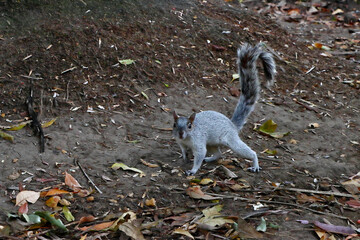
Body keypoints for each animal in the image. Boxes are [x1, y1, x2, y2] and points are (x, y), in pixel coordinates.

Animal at [172, 43, 276, 175]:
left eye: (190, 126)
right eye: (174, 124)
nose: (180, 133)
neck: (187, 139)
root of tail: (232, 125)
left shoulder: (199, 142)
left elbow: (200, 155)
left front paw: (193, 170)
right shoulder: (181, 143)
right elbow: (184, 150)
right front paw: (185, 157)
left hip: (231, 141)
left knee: (248, 152)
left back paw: (255, 164)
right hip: (212, 143)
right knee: (219, 154)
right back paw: (210, 158)